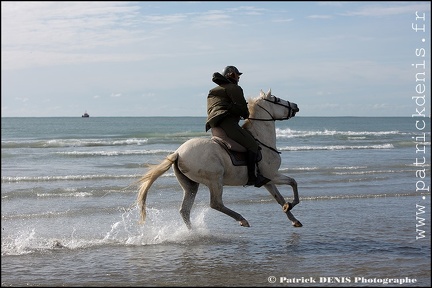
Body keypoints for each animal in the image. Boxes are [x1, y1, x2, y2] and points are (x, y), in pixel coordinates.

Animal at [137, 90, 302, 230]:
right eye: (276, 99)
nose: (295, 106)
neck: (261, 139)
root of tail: (178, 153)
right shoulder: (272, 175)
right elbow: (293, 182)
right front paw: (291, 204)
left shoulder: (267, 180)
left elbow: (279, 198)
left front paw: (292, 216)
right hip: (215, 180)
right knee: (215, 204)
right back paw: (242, 220)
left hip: (191, 185)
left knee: (185, 210)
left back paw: (193, 232)